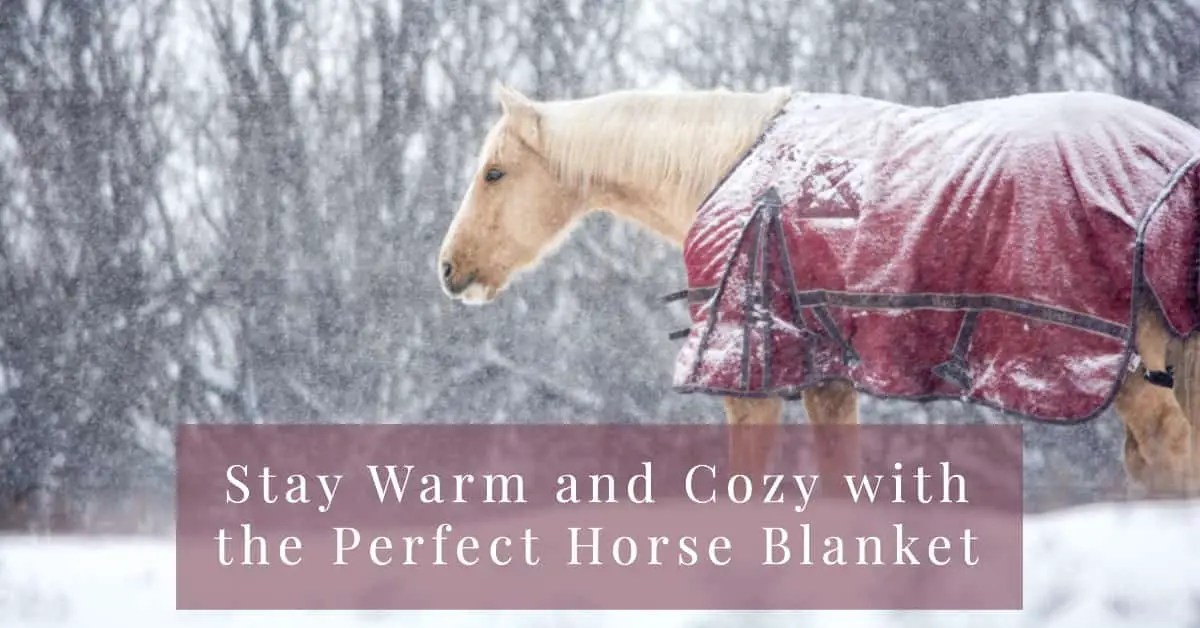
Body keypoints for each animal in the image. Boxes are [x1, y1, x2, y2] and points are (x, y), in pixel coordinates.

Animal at [436, 82, 1200, 496]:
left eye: (495, 173)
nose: (447, 269)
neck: (728, 167)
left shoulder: (748, 377)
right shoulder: (826, 378)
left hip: (1118, 368)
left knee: (1168, 449)